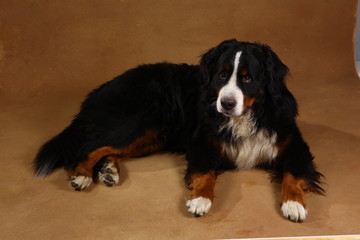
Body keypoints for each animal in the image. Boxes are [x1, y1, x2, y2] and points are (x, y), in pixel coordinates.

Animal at [35, 39, 324, 221]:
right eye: (222, 75)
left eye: (247, 78)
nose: (226, 103)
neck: (250, 115)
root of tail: (102, 87)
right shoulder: (201, 143)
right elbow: (205, 172)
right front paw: (200, 200)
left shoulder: (294, 145)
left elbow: (294, 174)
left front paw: (294, 204)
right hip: (138, 121)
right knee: (89, 145)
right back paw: (82, 175)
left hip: (153, 136)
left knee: (108, 148)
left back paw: (108, 170)